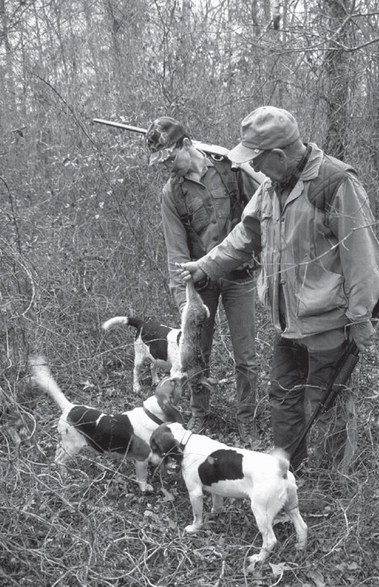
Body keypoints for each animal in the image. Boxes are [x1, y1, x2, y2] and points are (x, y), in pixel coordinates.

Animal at [29, 356, 183, 494]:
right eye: (173, 382)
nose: (182, 372)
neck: (151, 414)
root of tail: (69, 407)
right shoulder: (141, 459)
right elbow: (142, 477)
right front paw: (145, 488)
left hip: (67, 443)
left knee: (58, 451)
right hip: (73, 446)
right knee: (60, 459)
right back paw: (64, 474)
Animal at [150, 422, 308, 568]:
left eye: (154, 447)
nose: (150, 462)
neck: (186, 443)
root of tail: (281, 471)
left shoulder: (194, 493)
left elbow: (197, 516)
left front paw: (194, 529)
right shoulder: (216, 492)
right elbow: (217, 507)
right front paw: (213, 516)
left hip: (261, 512)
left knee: (270, 540)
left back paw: (259, 559)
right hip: (291, 506)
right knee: (302, 527)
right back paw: (301, 547)